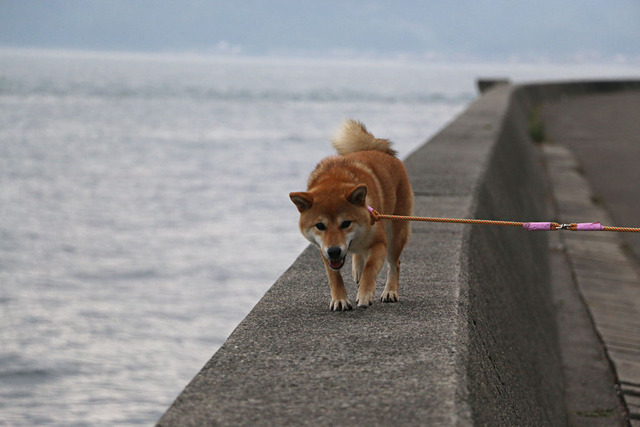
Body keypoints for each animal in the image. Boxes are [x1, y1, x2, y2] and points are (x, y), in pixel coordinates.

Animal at [292, 120, 412, 310]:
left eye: (346, 223)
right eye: (320, 226)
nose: (334, 251)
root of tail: (377, 149)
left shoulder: (380, 243)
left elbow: (370, 269)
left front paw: (364, 294)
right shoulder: (323, 249)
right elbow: (334, 277)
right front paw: (340, 299)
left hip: (396, 234)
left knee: (395, 264)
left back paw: (390, 291)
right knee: (359, 255)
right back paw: (357, 268)